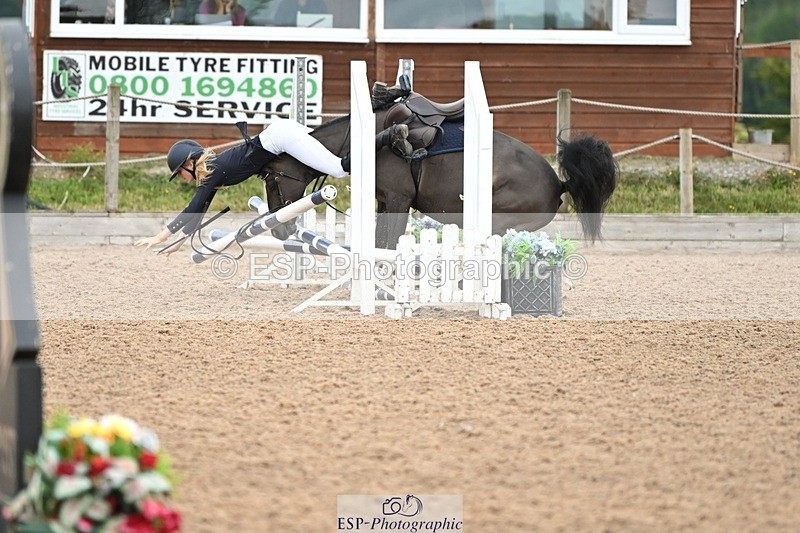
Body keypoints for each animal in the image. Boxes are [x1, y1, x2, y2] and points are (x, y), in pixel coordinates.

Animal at [259, 102, 618, 250]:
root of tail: (558, 182)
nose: (280, 229)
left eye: (270, 178)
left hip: (498, 221)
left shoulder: (399, 200)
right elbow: (379, 242)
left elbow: (387, 244)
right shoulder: (385, 202)